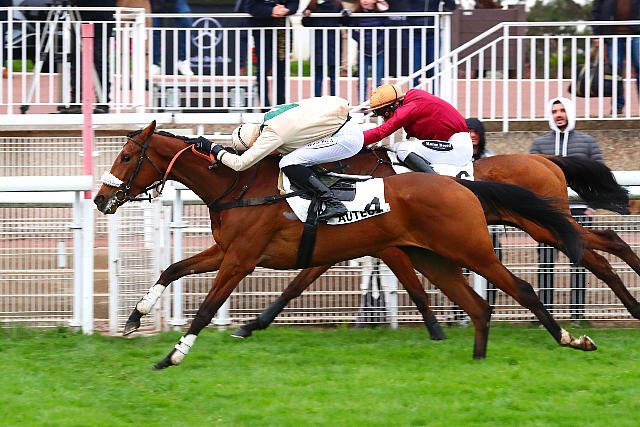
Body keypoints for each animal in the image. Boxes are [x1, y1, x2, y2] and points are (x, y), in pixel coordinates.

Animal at [94, 121, 595, 369]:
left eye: (125, 156)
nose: (99, 198)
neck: (241, 185)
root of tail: (461, 184)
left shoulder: (241, 258)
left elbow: (206, 307)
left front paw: (173, 355)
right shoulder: (227, 251)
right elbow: (172, 269)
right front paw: (135, 317)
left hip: (470, 248)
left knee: (522, 289)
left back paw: (573, 338)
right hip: (433, 256)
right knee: (478, 305)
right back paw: (477, 358)